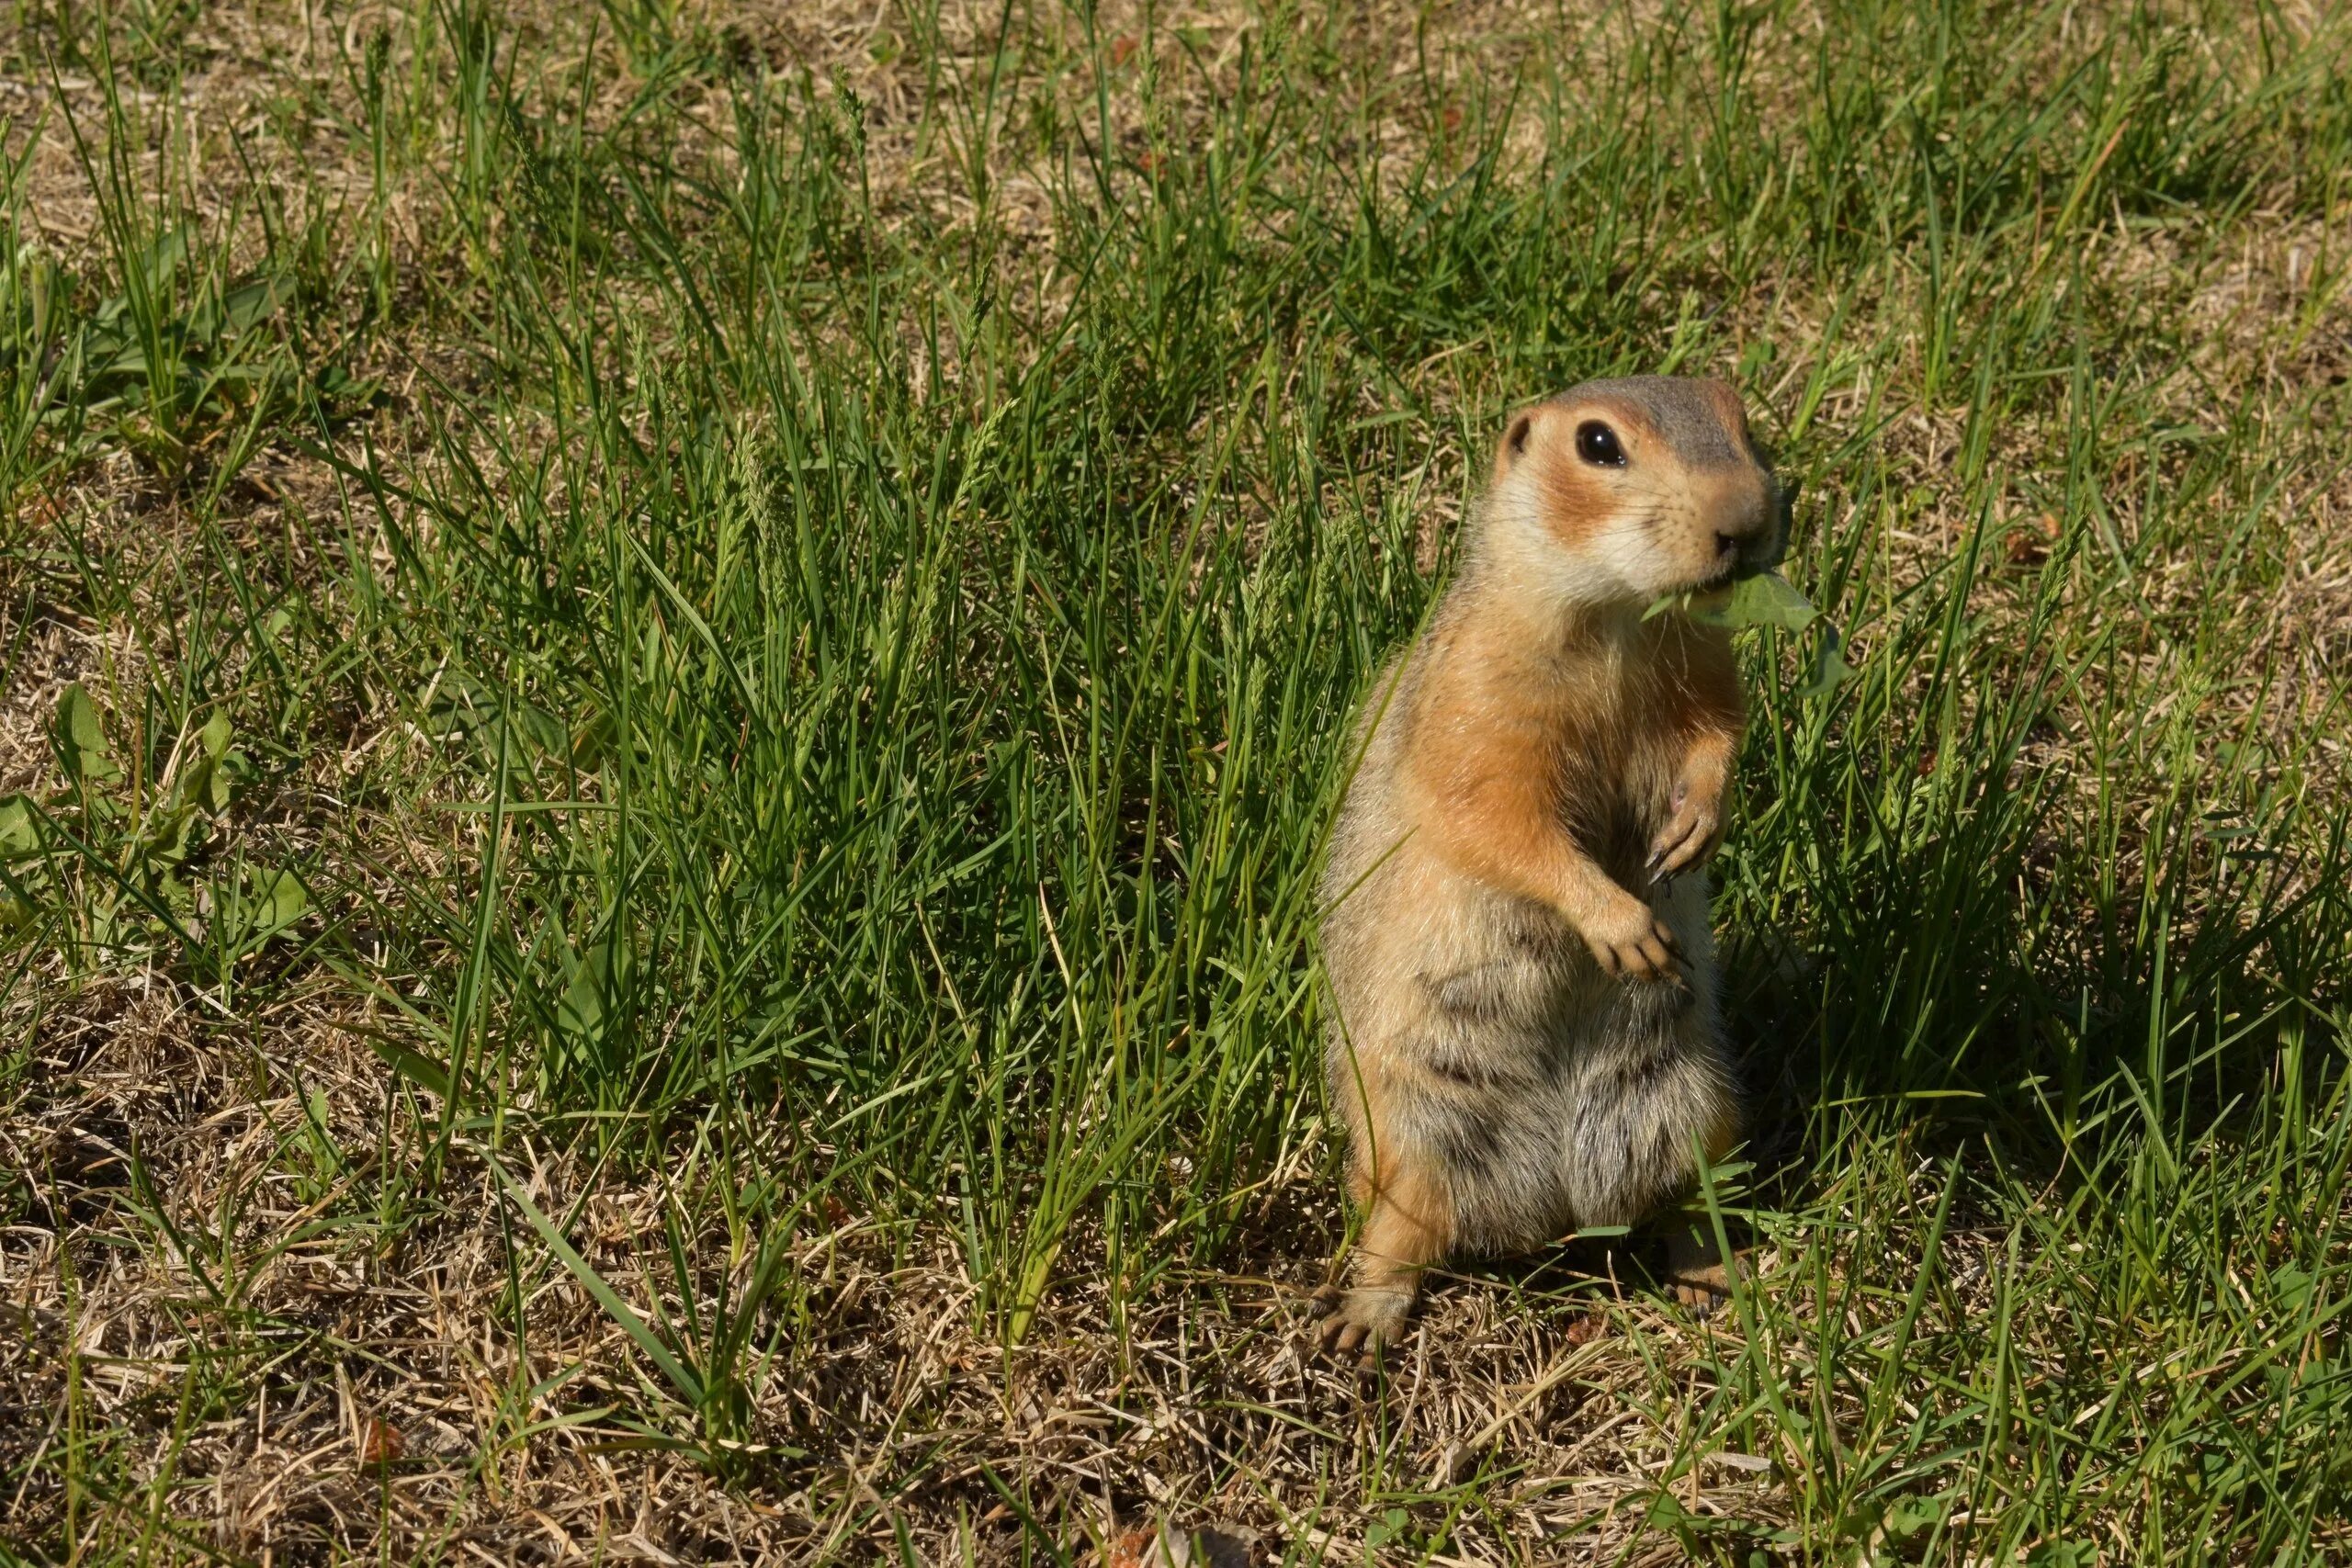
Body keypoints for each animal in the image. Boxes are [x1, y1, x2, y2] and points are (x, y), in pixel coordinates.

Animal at [1317, 373, 1787, 1354]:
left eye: (1740, 416)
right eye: (1598, 444)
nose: (1748, 517)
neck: (1615, 622)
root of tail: (1563, 1205)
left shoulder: (1704, 664)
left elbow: (1720, 734)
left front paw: (1696, 827)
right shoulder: (1480, 701)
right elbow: (1500, 820)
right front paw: (1624, 925)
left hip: (1698, 1106)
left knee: (1687, 1205)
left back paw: (1709, 1276)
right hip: (1414, 1126)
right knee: (1403, 1230)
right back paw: (1362, 1318)